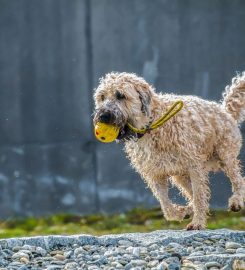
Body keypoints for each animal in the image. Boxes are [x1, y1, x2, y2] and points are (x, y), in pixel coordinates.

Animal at [93, 71, 245, 230]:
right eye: (102, 97)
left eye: (120, 95)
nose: (103, 116)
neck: (151, 124)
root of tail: (225, 111)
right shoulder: (154, 173)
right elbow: (165, 203)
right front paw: (182, 213)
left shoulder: (194, 167)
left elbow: (198, 196)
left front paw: (197, 222)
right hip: (180, 175)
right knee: (195, 193)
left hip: (224, 156)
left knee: (238, 180)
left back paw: (236, 201)